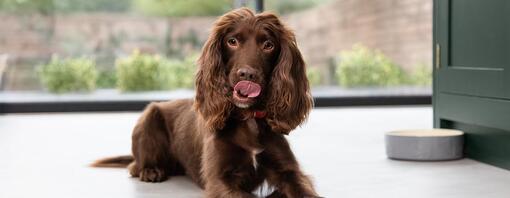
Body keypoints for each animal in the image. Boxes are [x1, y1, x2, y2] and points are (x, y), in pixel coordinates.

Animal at [94, 7, 318, 198]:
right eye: (232, 41)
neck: (248, 119)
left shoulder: (289, 171)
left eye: (268, 45)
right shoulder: (219, 180)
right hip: (150, 115)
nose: (247, 75)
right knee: (135, 166)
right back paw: (151, 170)